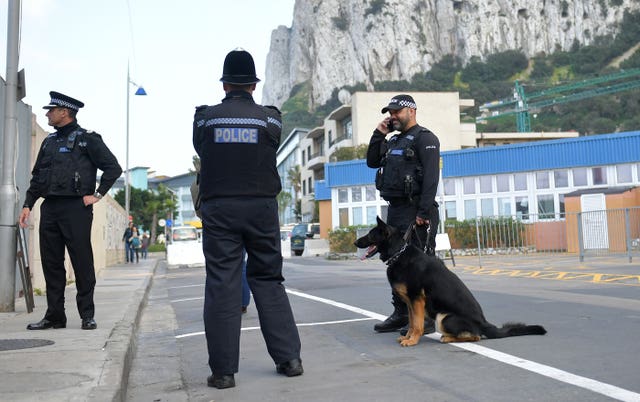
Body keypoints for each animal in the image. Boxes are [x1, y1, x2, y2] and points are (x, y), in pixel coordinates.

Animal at [356, 218, 544, 348]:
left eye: (370, 234)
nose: (355, 242)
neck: (398, 253)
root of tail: (484, 323)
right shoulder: (410, 303)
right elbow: (411, 323)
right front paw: (407, 337)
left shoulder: (417, 300)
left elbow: (417, 325)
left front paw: (413, 340)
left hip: (443, 317)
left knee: (476, 336)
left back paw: (447, 338)